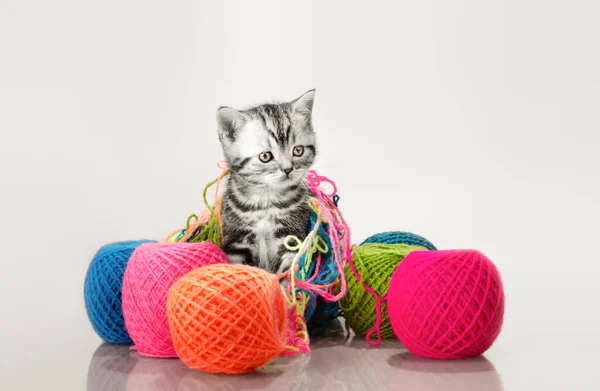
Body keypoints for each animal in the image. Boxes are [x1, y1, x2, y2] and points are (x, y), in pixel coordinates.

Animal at [217, 91, 318, 276]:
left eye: (298, 150)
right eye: (265, 156)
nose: (288, 169)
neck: (266, 201)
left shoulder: (291, 237)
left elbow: (287, 270)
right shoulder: (237, 241)